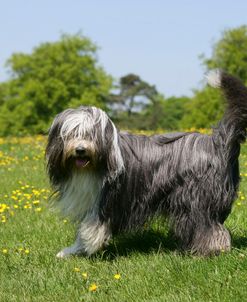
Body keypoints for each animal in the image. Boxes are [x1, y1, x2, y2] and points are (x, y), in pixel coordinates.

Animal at [45, 70, 247, 258]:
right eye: (71, 134)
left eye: (90, 134)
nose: (80, 149)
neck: (95, 165)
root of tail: (218, 141)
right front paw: (71, 251)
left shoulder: (105, 201)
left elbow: (91, 228)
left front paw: (87, 248)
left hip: (196, 198)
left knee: (208, 226)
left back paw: (207, 251)